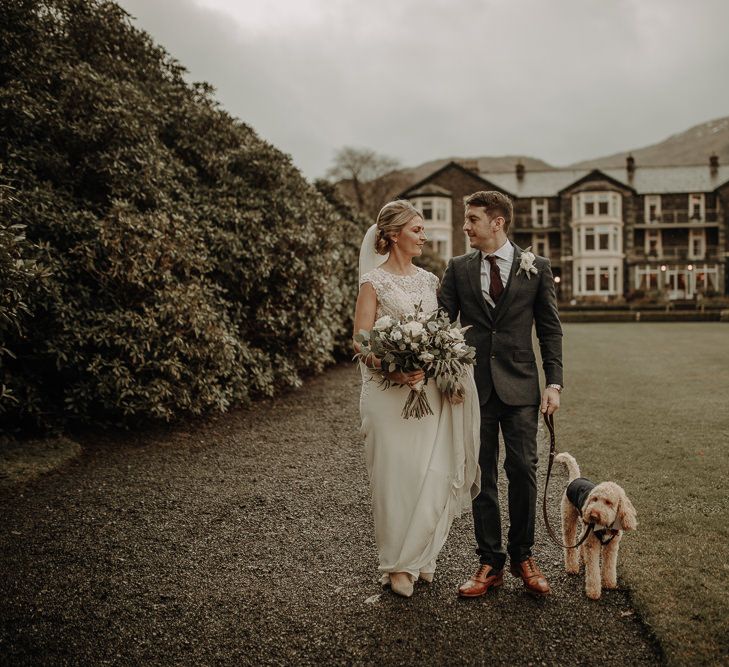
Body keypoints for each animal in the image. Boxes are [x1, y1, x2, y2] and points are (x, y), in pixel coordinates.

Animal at [556, 454, 636, 600]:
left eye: (608, 502)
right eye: (594, 499)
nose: (592, 514)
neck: (606, 526)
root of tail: (575, 479)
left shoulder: (612, 546)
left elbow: (609, 566)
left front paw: (609, 582)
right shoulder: (593, 544)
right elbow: (593, 571)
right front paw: (593, 591)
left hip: (585, 525)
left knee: (581, 538)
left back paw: (583, 558)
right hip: (568, 519)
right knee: (569, 542)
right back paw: (572, 566)